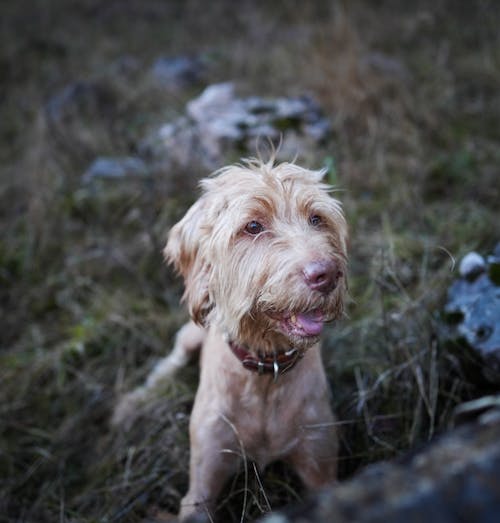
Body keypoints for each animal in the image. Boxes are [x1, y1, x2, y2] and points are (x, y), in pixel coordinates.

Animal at [114, 158, 348, 520]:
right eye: (252, 226)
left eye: (316, 218)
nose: (326, 274)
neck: (267, 371)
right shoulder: (202, 485)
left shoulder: (320, 466)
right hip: (191, 333)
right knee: (171, 360)